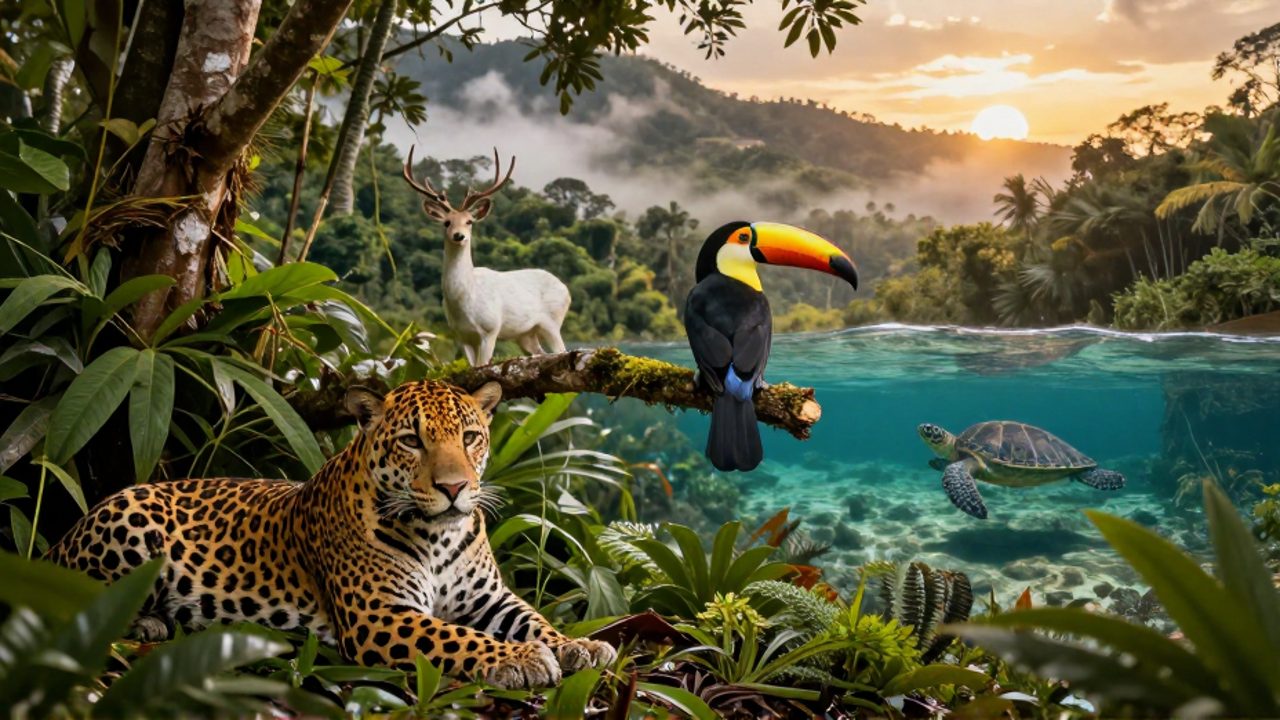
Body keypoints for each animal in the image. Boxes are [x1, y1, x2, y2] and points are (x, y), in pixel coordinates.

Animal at [47, 379, 617, 689]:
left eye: (471, 436)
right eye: (412, 441)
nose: (455, 488)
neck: (438, 536)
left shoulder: (489, 598)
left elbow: (534, 619)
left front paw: (578, 646)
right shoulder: (379, 615)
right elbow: (456, 636)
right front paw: (518, 658)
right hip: (132, 518)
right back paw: (145, 623)